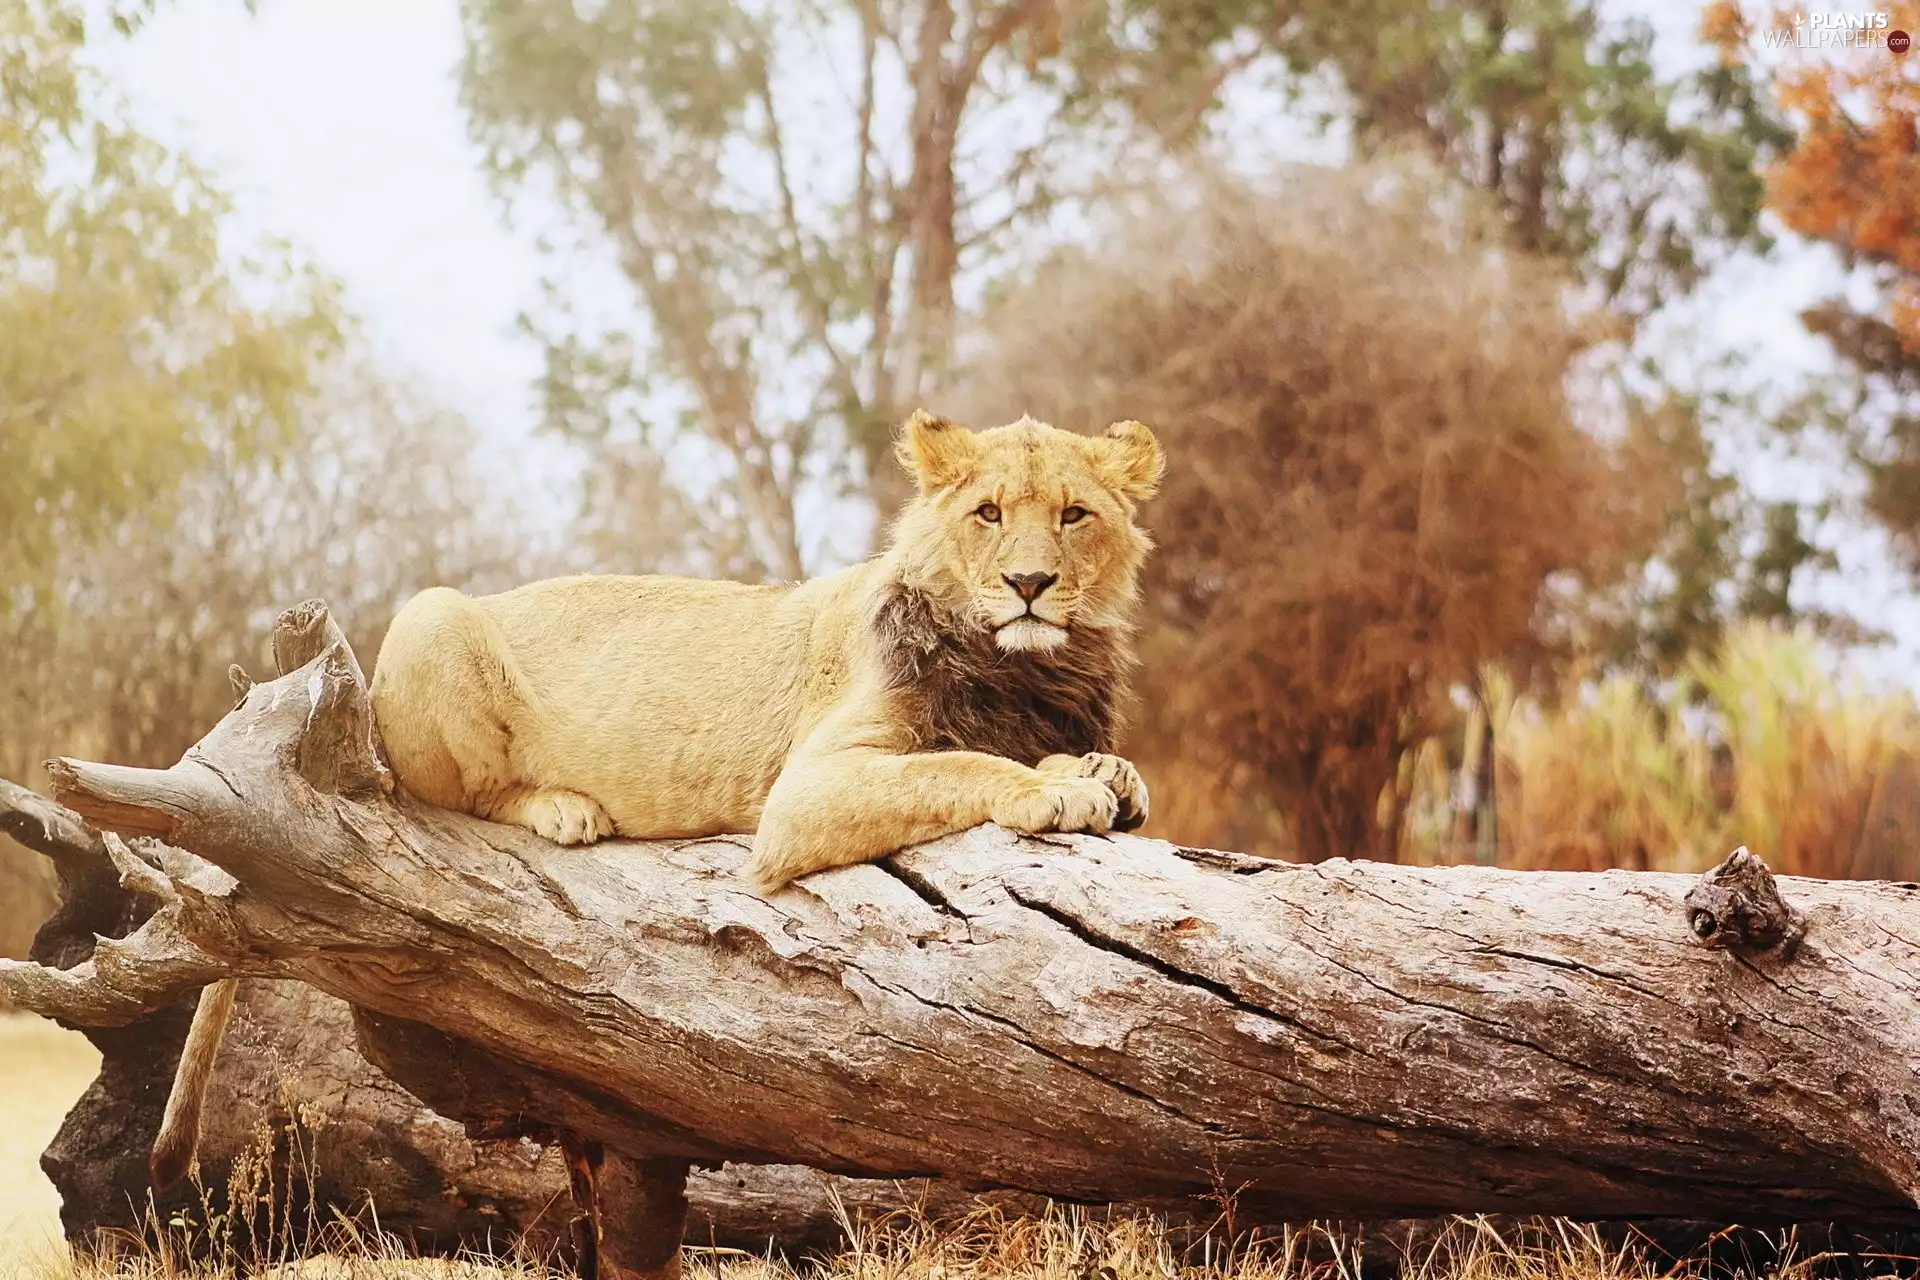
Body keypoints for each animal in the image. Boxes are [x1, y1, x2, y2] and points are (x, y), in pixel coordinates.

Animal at [149, 410, 1163, 1190]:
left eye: (1074, 515)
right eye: (988, 513)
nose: (1029, 585)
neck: (1025, 671)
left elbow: (1061, 758)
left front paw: (1108, 774)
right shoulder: (807, 789)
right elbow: (959, 765)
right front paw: (1059, 793)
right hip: (434, 615)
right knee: (459, 800)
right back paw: (565, 808)